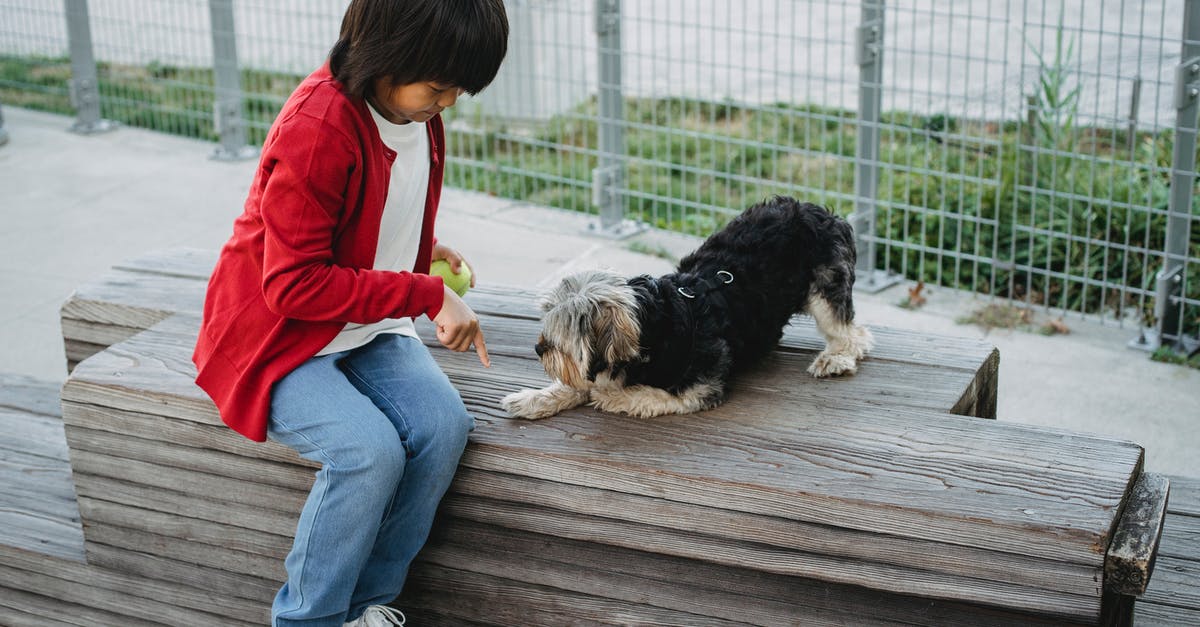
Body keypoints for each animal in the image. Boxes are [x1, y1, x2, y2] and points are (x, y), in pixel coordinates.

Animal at [496, 194, 873, 420]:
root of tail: (820, 211)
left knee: (854, 333)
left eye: (563, 338)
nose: (538, 348)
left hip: (826, 286)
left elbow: (653, 395)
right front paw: (533, 398)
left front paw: (615, 397)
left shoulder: (700, 387)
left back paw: (836, 358)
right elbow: (578, 383)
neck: (653, 327)